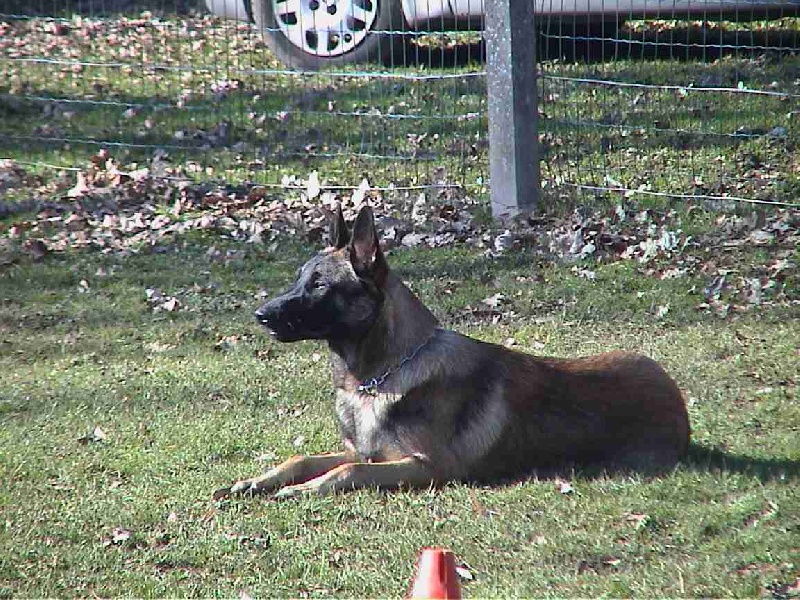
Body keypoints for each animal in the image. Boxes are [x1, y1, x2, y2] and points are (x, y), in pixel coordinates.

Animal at [214, 206, 690, 500]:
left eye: (319, 285)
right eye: (300, 279)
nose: (260, 315)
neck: (376, 380)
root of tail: (674, 393)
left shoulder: (426, 466)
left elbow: (349, 472)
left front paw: (301, 490)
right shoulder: (365, 451)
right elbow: (303, 457)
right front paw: (256, 481)